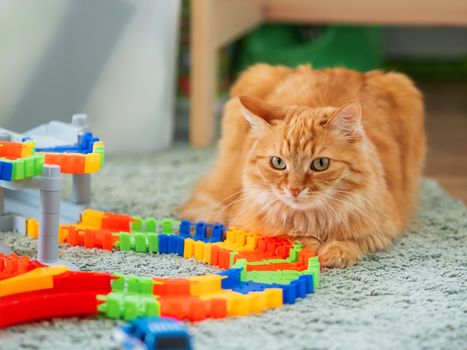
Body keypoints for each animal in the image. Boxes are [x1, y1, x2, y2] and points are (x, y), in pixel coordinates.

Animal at [182, 64, 428, 266]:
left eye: (320, 164)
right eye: (278, 162)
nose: (294, 190)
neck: (313, 220)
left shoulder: (384, 225)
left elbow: (354, 241)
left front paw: (335, 252)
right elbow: (288, 236)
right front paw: (308, 245)